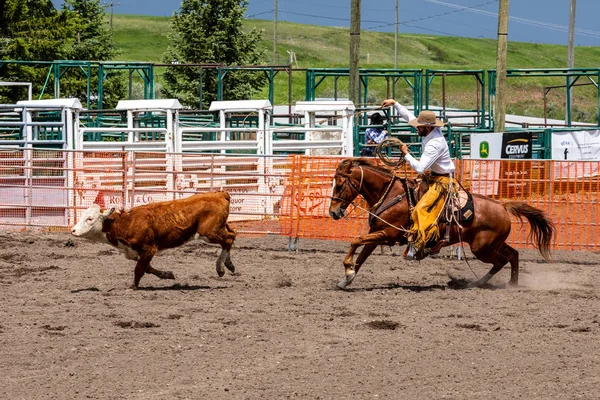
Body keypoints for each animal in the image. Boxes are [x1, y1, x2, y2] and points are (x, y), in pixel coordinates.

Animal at [71, 191, 237, 288]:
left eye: (90, 218)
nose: (73, 230)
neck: (127, 223)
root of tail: (220, 193)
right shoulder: (136, 252)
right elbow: (147, 268)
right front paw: (167, 274)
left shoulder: (149, 248)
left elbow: (139, 269)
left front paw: (133, 286)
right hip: (218, 229)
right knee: (232, 235)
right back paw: (229, 265)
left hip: (208, 233)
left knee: (228, 240)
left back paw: (220, 268)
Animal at [328, 158, 552, 290]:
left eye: (339, 185)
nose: (333, 212)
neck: (392, 195)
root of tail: (503, 206)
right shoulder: (376, 234)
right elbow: (362, 256)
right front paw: (347, 279)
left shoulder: (387, 235)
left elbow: (356, 241)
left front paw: (347, 269)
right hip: (492, 244)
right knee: (513, 255)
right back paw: (507, 283)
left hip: (483, 248)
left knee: (502, 261)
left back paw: (480, 283)